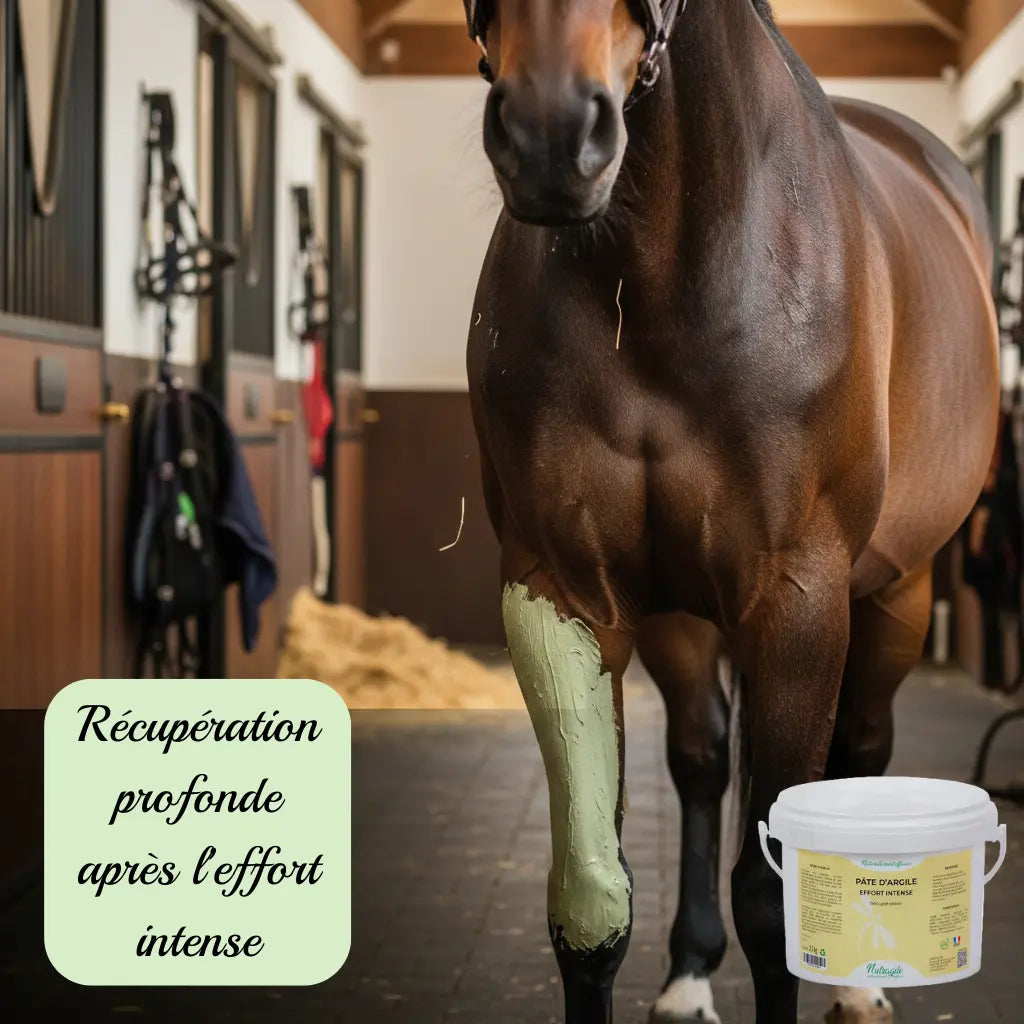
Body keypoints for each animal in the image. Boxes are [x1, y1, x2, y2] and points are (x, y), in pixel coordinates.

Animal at [462, 0, 999, 1021]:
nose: (551, 135)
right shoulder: (560, 593)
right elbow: (591, 900)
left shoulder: (796, 602)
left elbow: (773, 901)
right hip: (682, 613)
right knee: (704, 758)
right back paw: (687, 973)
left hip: (896, 593)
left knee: (863, 745)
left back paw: (862, 990)